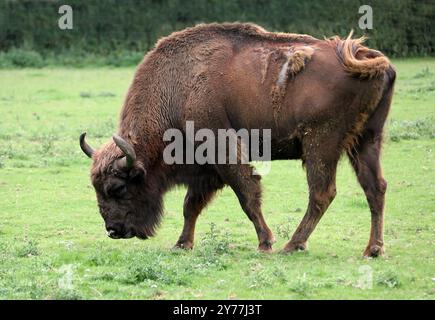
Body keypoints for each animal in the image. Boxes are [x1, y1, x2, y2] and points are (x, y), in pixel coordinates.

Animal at [80, 23, 396, 258]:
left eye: (117, 188)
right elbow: (191, 205)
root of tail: (363, 56)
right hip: (366, 141)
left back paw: (292, 245)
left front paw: (265, 242)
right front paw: (182, 244)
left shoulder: (224, 153)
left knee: (322, 193)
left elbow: (247, 195)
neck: (179, 89)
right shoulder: (205, 170)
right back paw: (373, 249)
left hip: (320, 144)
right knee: (375, 188)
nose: (114, 230)